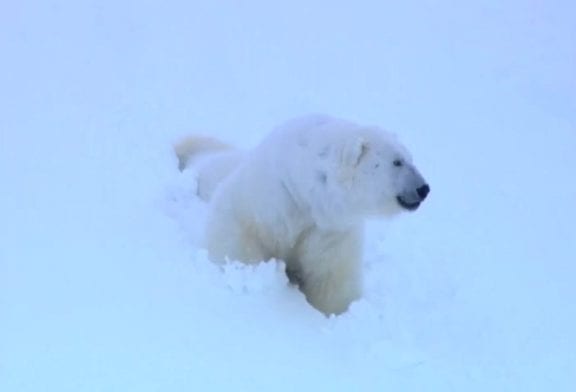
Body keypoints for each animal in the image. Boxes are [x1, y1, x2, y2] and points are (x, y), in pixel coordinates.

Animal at [174, 114, 428, 316]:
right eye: (397, 161)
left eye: (410, 158)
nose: (424, 188)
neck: (306, 193)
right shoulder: (266, 199)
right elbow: (239, 236)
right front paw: (248, 273)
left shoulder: (329, 228)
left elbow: (332, 275)